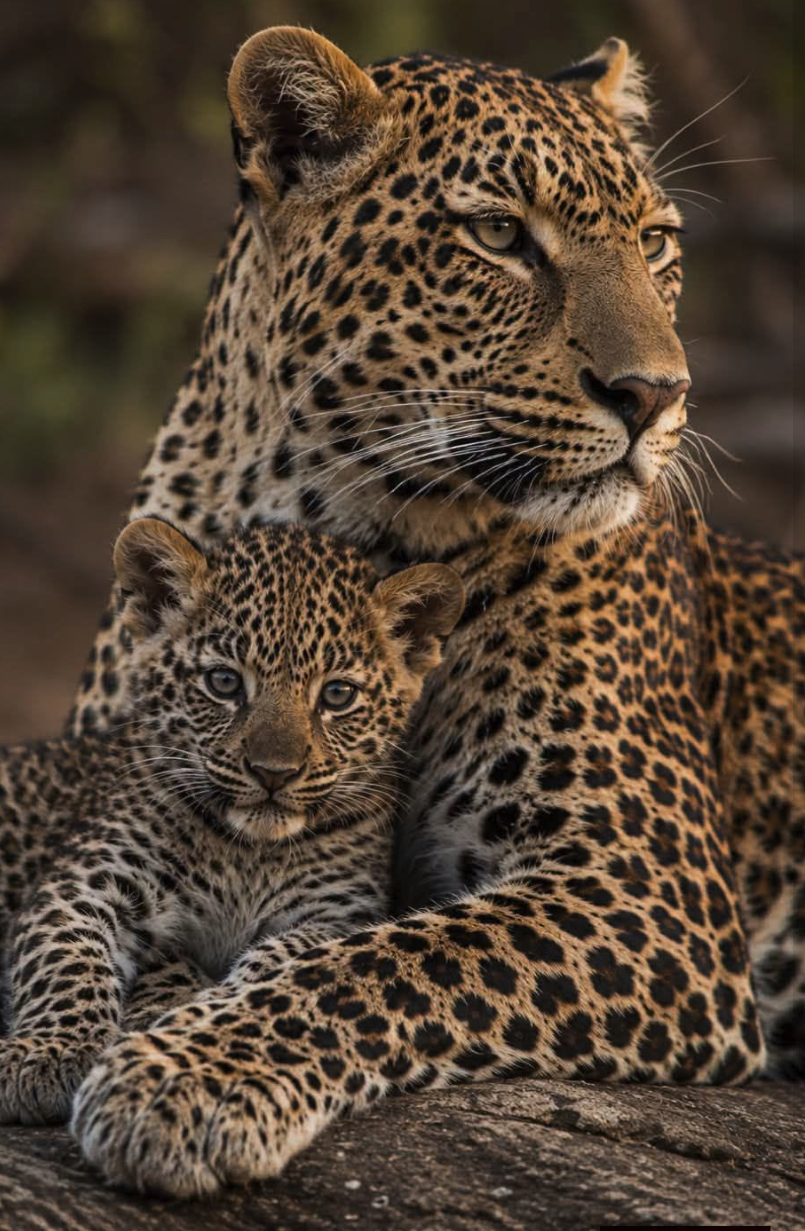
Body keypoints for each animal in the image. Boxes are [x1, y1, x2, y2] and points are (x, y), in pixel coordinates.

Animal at [0, 514, 463, 1123]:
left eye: (337, 695)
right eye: (223, 683)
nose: (273, 773)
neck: (249, 852)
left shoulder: (337, 914)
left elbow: (292, 962)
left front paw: (206, 1015)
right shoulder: (84, 885)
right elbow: (66, 962)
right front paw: (46, 1054)